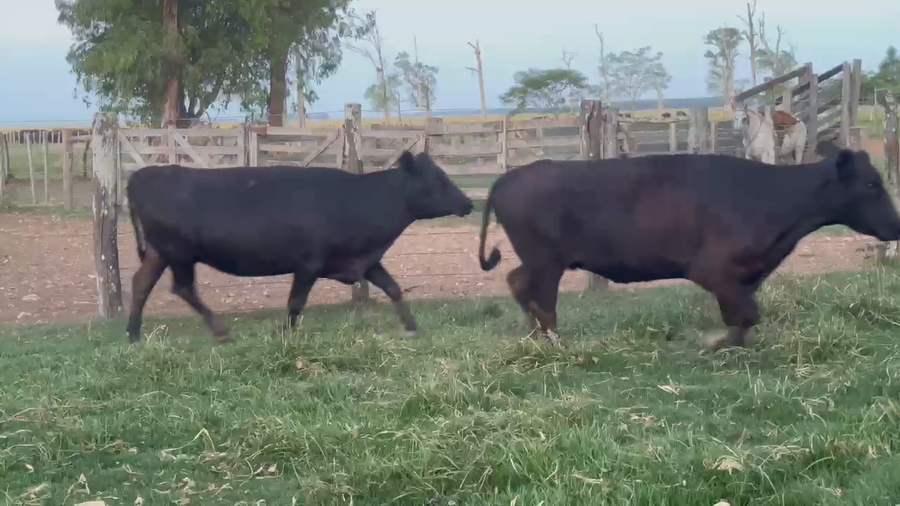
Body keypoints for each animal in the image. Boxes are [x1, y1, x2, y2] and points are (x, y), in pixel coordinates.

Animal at [125, 151, 474, 343]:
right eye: (438, 180)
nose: (468, 203)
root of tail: (142, 175)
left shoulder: (365, 261)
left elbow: (393, 288)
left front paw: (412, 327)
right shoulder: (308, 263)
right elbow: (295, 302)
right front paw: (287, 334)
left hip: (159, 253)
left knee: (141, 284)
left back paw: (133, 334)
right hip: (179, 253)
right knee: (182, 288)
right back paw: (219, 330)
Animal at [477, 141, 900, 350]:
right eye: (870, 184)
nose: (896, 226)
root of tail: (508, 177)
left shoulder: (745, 276)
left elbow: (745, 315)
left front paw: (735, 345)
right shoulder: (714, 271)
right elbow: (746, 315)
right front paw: (716, 344)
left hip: (539, 260)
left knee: (518, 284)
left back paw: (535, 335)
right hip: (546, 260)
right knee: (541, 297)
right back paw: (553, 341)